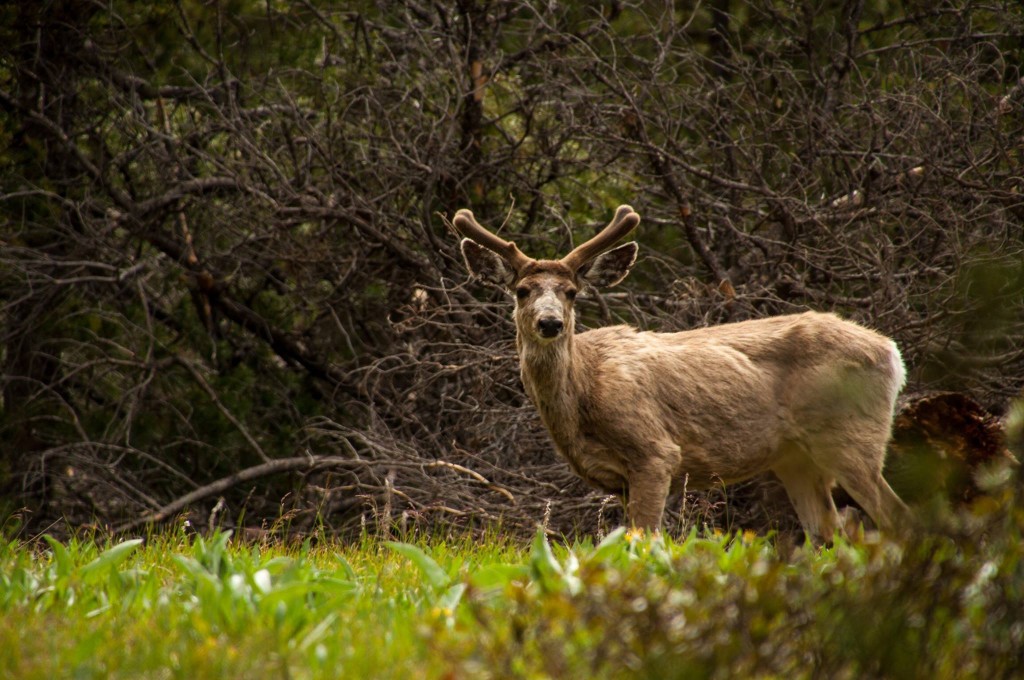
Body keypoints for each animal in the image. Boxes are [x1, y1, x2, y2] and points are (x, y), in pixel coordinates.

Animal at [450, 204, 913, 540]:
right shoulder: (619, 481)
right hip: (796, 458)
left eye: (571, 292)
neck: (583, 393)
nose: (550, 323)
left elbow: (645, 541)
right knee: (828, 533)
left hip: (851, 435)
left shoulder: (655, 452)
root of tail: (892, 353)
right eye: (521, 290)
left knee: (896, 515)